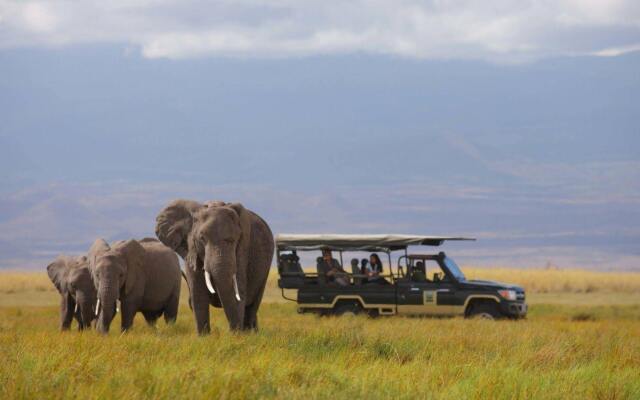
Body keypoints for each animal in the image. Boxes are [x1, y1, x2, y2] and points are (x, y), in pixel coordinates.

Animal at [158, 200, 276, 334]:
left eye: (234, 240)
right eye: (202, 239)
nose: (233, 332)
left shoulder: (243, 248)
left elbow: (238, 289)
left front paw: (237, 336)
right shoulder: (191, 250)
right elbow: (198, 293)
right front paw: (204, 336)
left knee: (253, 304)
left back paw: (250, 333)